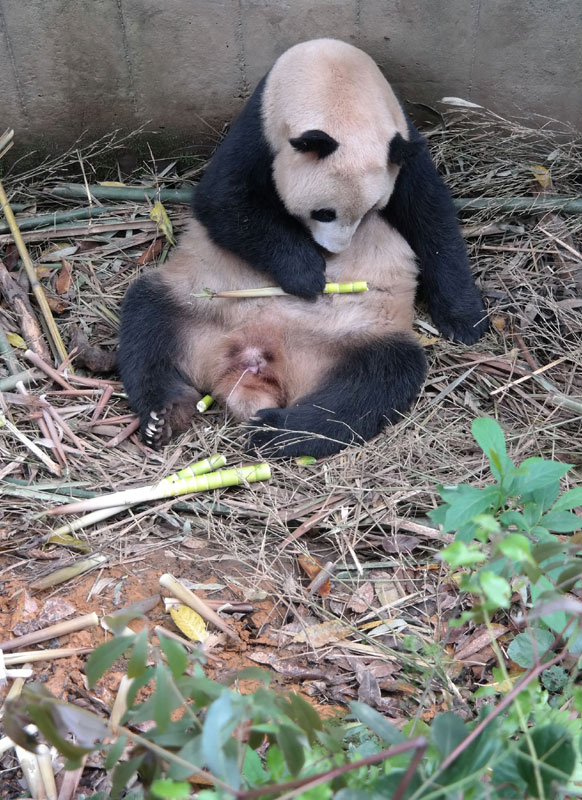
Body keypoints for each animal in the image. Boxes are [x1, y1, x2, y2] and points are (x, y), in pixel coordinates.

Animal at [116, 39, 486, 456]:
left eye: (370, 212)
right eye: (323, 213)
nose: (333, 252)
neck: (335, 81)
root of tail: (251, 363)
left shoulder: (402, 145)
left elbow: (431, 218)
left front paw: (465, 320)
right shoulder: (257, 131)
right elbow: (224, 203)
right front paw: (307, 275)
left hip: (355, 339)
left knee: (373, 383)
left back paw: (275, 430)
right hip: (197, 302)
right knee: (148, 325)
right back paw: (165, 414)